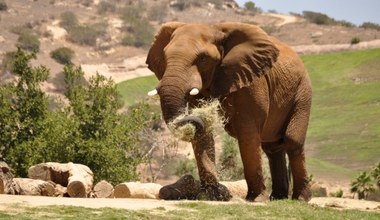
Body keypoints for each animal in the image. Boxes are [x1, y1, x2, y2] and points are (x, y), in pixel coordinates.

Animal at [145, 21, 312, 201]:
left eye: (203, 58)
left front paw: (255, 199)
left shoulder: (252, 80)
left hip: (302, 93)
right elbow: (204, 134)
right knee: (272, 147)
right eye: (164, 56)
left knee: (292, 141)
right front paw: (213, 196)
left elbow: (247, 133)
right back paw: (277, 198)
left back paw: (301, 199)